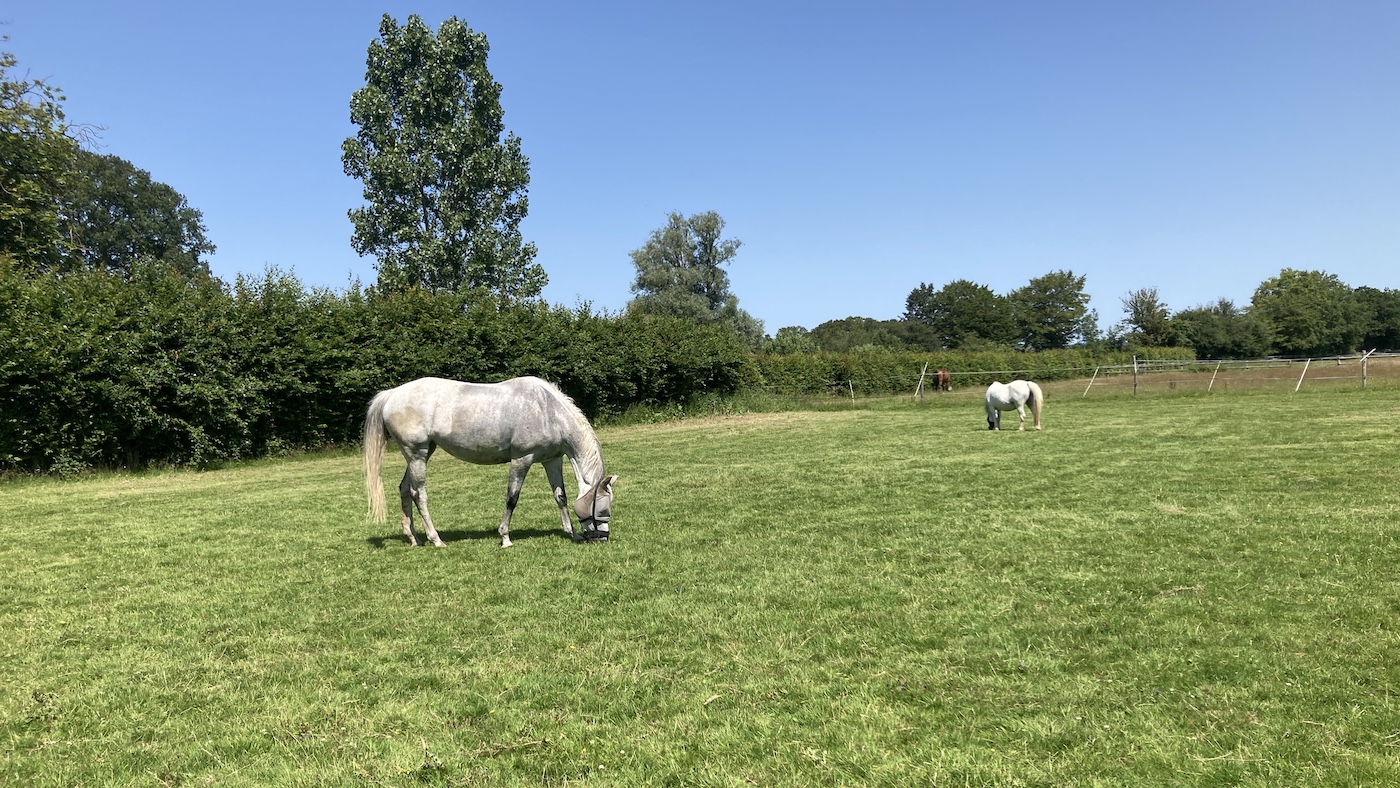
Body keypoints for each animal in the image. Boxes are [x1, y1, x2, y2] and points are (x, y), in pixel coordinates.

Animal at [363, 376, 618, 548]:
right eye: (602, 507)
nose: (602, 538)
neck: (547, 411)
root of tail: (392, 394)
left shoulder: (551, 460)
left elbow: (560, 497)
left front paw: (571, 533)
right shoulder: (521, 459)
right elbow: (512, 499)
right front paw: (505, 538)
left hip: (420, 453)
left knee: (405, 489)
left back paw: (414, 538)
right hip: (417, 454)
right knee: (419, 494)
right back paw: (436, 540)